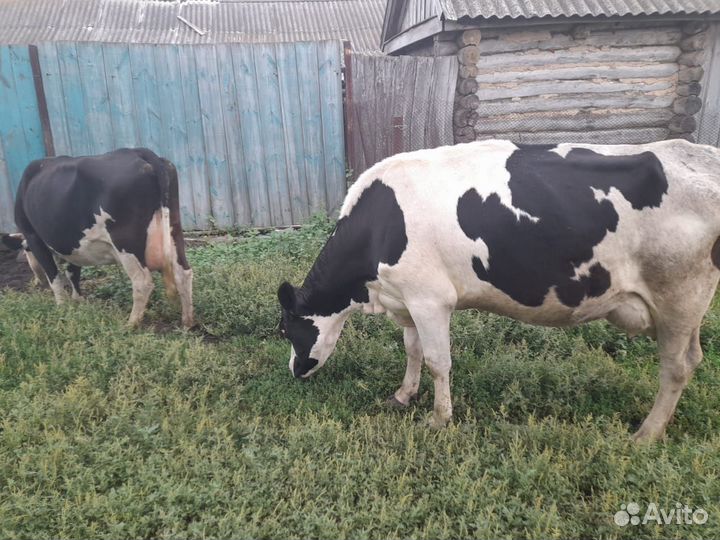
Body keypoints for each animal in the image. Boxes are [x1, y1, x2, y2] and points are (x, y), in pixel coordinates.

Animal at [1, 148, 193, 328]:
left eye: (27, 251)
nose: (36, 282)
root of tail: (137, 151)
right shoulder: (73, 243)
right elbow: (73, 272)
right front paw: (78, 301)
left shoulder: (34, 237)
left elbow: (55, 277)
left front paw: (62, 307)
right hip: (174, 228)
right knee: (183, 272)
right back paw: (187, 322)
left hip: (125, 242)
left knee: (142, 281)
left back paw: (130, 324)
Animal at [278, 138, 720, 442]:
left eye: (285, 330)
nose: (294, 372)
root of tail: (698, 153)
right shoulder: (407, 296)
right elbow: (413, 350)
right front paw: (403, 395)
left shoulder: (431, 298)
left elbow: (438, 361)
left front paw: (439, 418)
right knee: (692, 359)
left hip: (679, 296)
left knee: (676, 367)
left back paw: (646, 434)